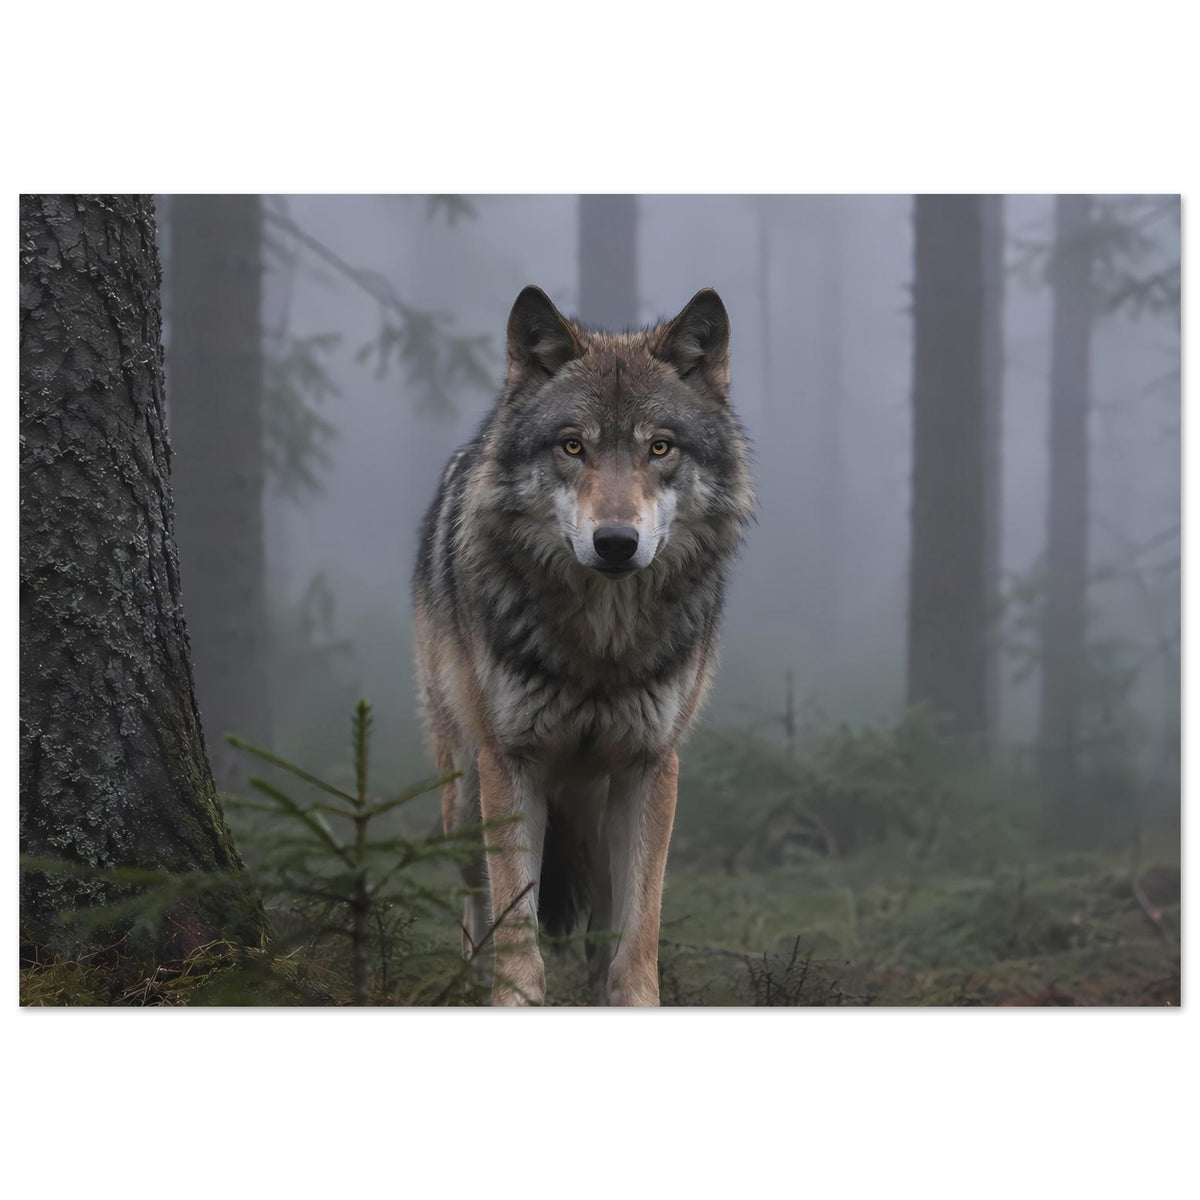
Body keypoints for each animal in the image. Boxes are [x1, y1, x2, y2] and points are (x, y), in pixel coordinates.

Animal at [412, 284, 753, 1005]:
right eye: (572, 446)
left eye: (660, 448)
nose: (616, 543)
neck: (602, 643)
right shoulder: (510, 762)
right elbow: (516, 928)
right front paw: (511, 1000)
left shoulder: (651, 766)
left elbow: (637, 932)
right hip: (463, 796)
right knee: (473, 906)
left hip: (595, 812)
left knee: (599, 926)